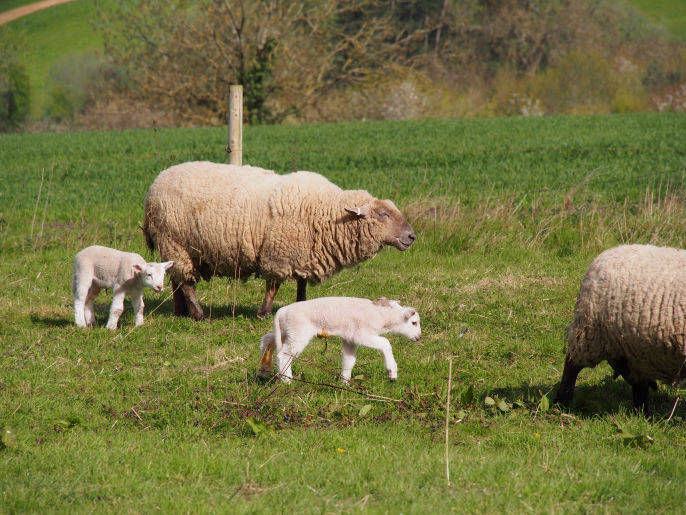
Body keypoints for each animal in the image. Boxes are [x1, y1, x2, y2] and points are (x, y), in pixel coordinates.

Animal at [142, 161, 416, 318]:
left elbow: (301, 285)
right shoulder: (278, 254)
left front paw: (302, 305)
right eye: (382, 214)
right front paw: (264, 314)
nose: (412, 236)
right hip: (173, 240)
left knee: (177, 279)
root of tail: (154, 184)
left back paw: (181, 312)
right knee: (186, 282)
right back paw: (198, 314)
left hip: (179, 247)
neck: (325, 211)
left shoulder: (304, 253)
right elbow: (272, 287)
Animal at [256, 298, 422, 382]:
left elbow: (349, 361)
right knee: (283, 355)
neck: (382, 315)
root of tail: (281, 311)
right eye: (414, 323)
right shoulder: (362, 334)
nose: (419, 337)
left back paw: (264, 369)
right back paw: (287, 380)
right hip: (298, 333)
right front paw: (392, 372)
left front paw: (345, 382)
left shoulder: (350, 339)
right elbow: (385, 343)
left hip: (287, 332)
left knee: (267, 339)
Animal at [556, 246, 684, 412]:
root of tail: (604, 255)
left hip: (635, 348)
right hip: (590, 332)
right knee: (571, 364)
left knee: (639, 382)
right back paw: (561, 401)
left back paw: (642, 413)